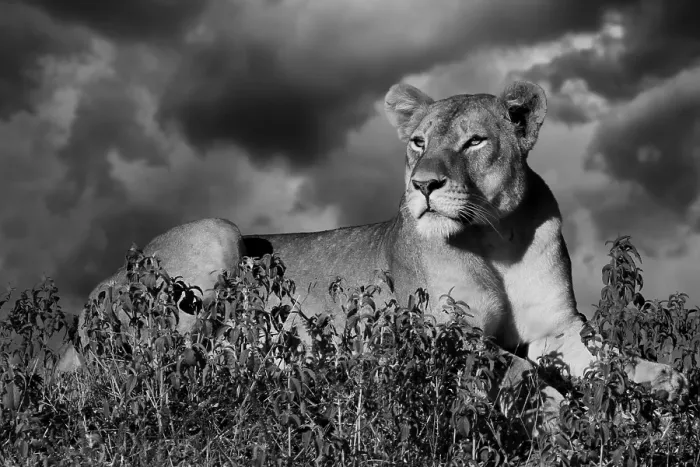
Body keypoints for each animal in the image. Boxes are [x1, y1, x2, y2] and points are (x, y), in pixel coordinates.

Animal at [58, 81, 687, 433]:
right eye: (418, 142)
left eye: (474, 142)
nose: (423, 184)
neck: (495, 238)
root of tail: (92, 296)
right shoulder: (441, 332)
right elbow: (527, 373)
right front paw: (579, 414)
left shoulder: (557, 328)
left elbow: (608, 358)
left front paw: (663, 385)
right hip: (218, 233)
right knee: (154, 369)